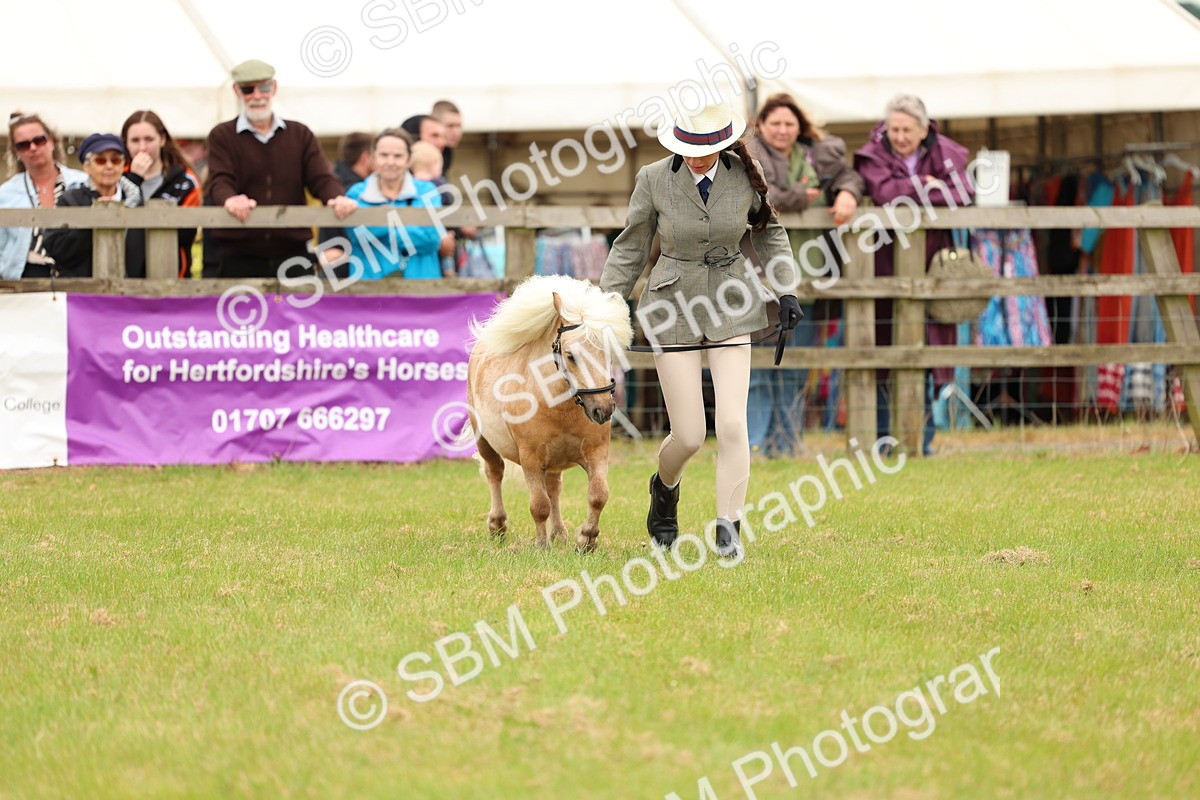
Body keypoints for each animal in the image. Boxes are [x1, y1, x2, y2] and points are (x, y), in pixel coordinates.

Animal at [466, 275, 633, 551]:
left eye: (609, 353)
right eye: (570, 355)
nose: (603, 409)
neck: (558, 407)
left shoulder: (596, 453)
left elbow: (598, 495)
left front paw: (586, 538)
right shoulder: (531, 459)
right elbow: (539, 505)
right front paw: (542, 545)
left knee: (554, 487)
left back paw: (559, 533)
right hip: (484, 441)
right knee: (495, 473)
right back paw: (498, 525)